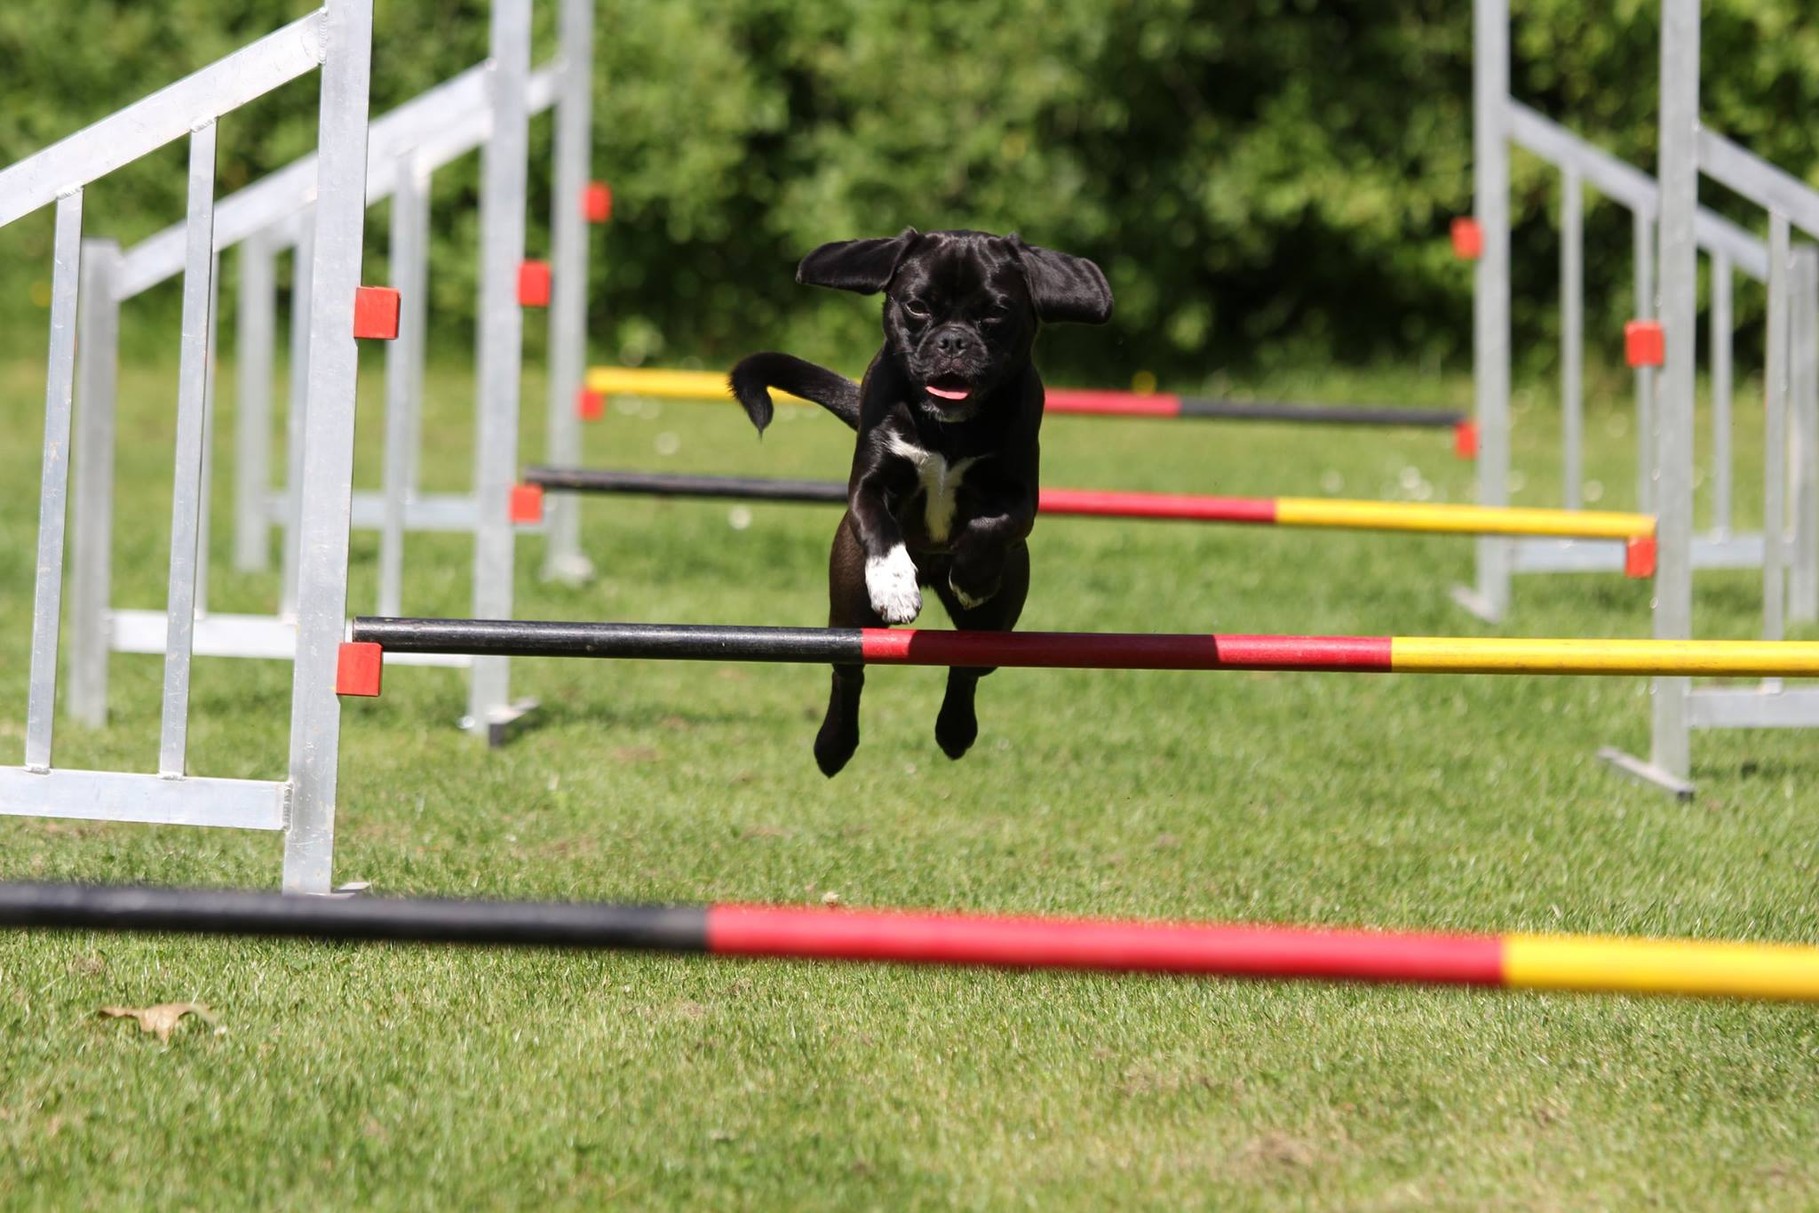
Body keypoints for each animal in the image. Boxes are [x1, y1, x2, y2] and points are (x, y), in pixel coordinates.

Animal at [723, 229, 1105, 778]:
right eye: (917, 306)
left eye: (996, 312)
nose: (953, 341)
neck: (948, 425)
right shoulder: (868, 485)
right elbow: (880, 527)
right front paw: (896, 587)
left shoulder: (1019, 497)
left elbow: (991, 526)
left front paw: (971, 577)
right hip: (847, 610)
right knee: (849, 670)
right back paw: (834, 746)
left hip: (1000, 618)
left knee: (968, 667)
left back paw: (954, 731)